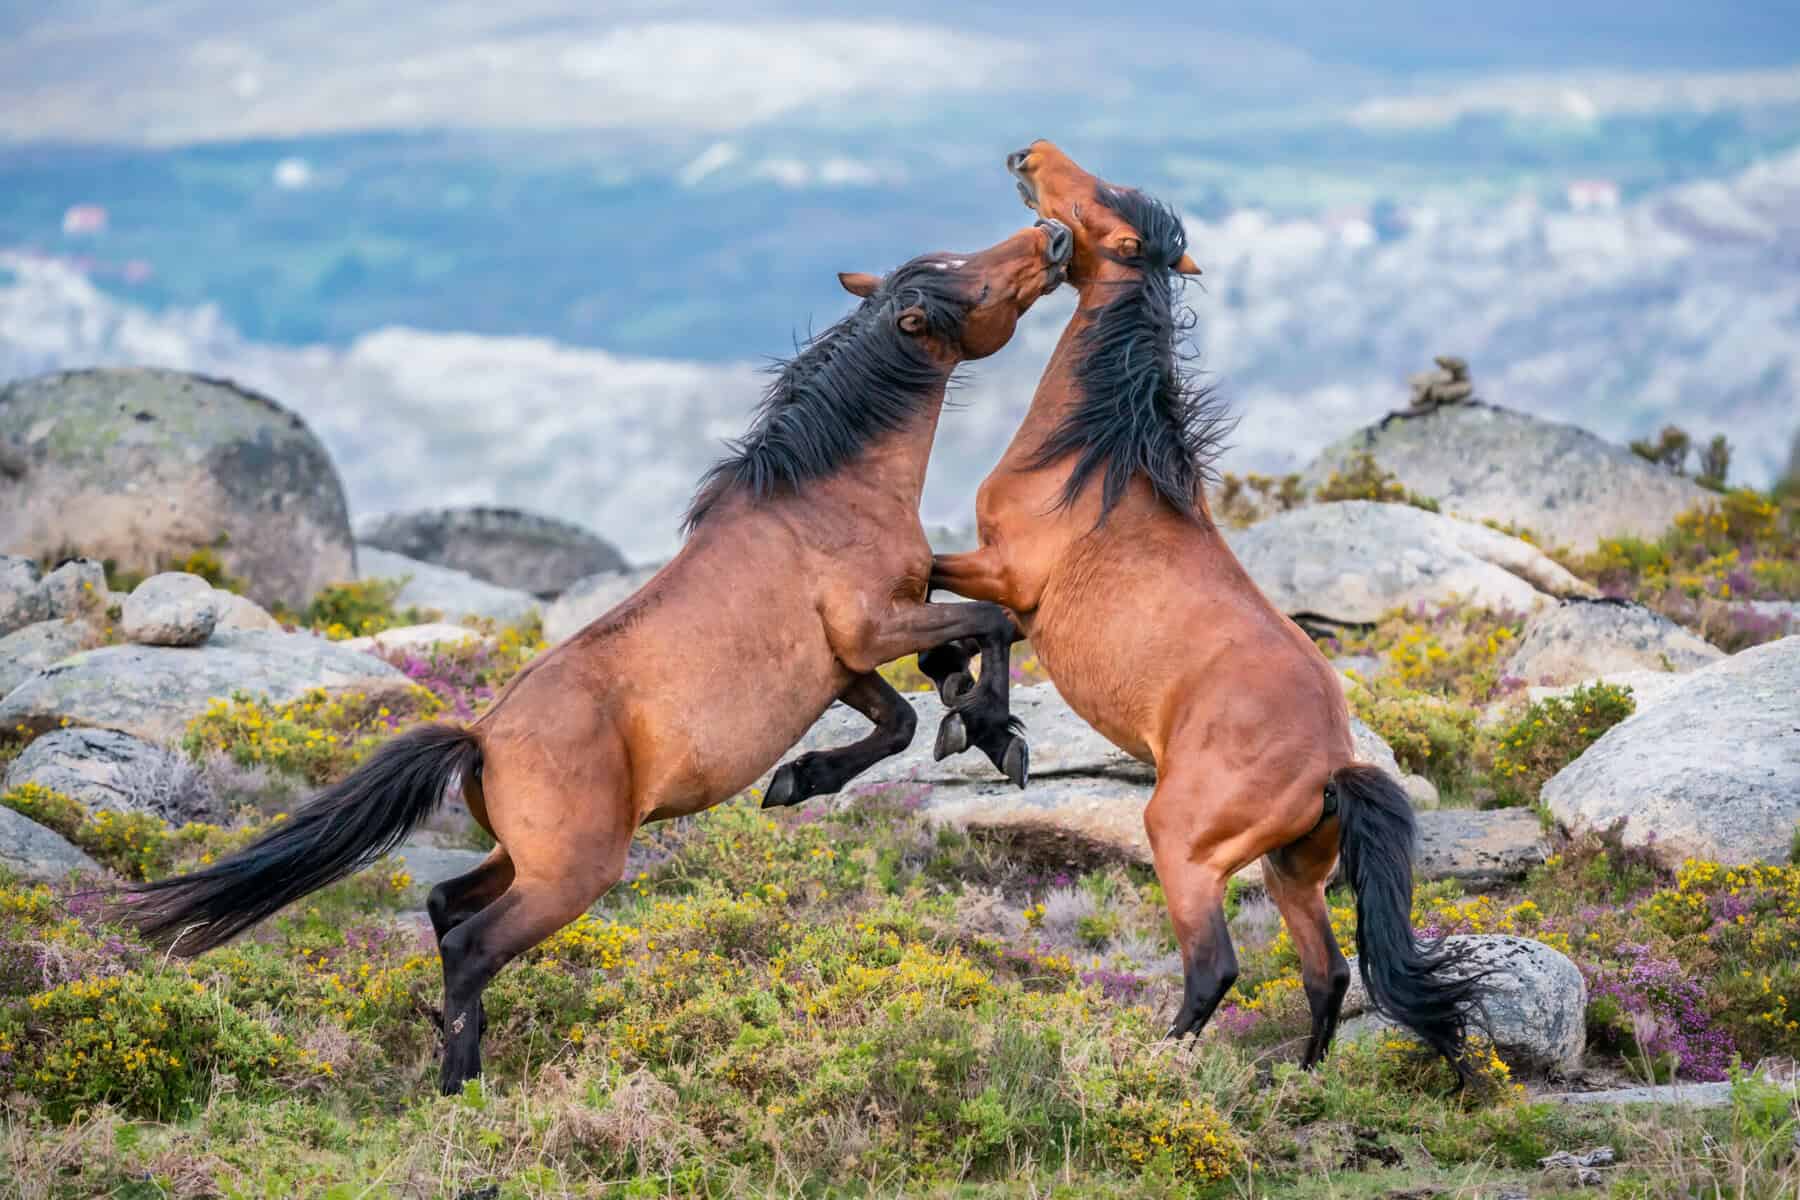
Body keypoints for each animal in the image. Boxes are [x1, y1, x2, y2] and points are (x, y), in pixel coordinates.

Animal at [122, 218, 1074, 1094]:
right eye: (967, 279)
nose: (1053, 236)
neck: (827, 498)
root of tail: (481, 738)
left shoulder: (846, 665)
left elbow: (907, 713)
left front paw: (812, 775)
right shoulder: (872, 629)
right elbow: (991, 625)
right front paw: (996, 733)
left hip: (523, 860)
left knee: (442, 905)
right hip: (571, 875)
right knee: (471, 944)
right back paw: (461, 1085)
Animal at [916, 142, 1487, 1076]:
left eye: (1102, 201)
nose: (1029, 156)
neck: (1095, 461)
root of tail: (1332, 767)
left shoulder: (1005, 576)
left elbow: (941, 601)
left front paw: (979, 727)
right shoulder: (1015, 597)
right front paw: (978, 724)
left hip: (1183, 846)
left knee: (1215, 966)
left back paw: (1153, 1063)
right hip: (1292, 872)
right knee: (1328, 973)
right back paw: (1295, 1081)